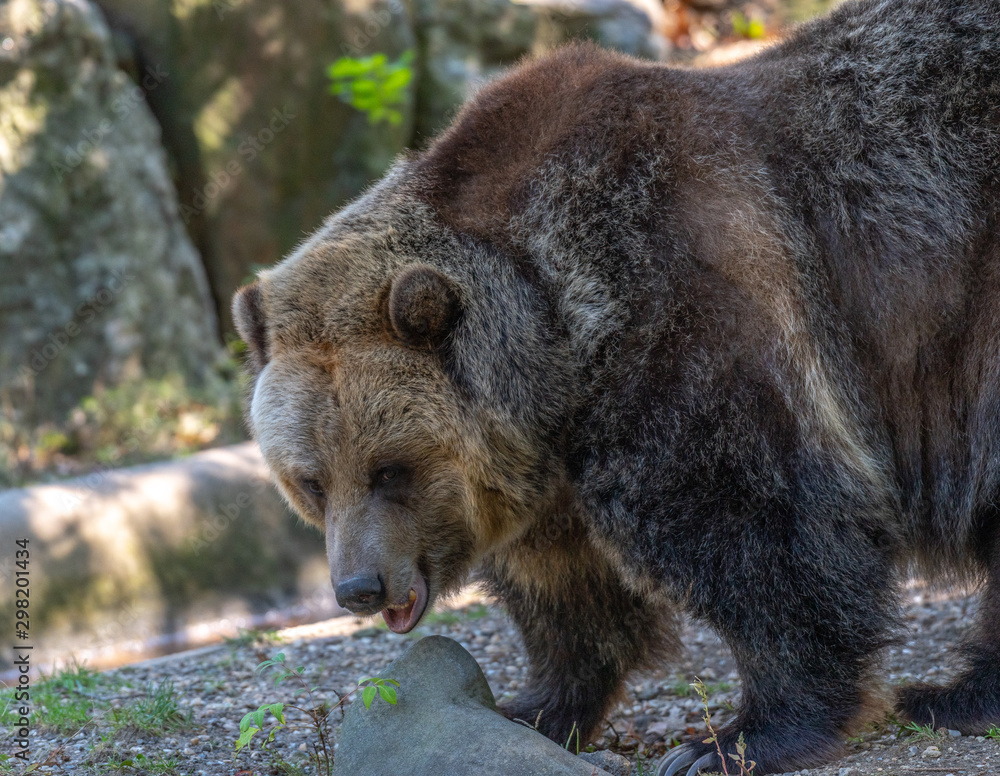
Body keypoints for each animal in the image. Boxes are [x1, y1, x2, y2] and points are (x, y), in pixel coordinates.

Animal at [232, 0, 1000, 773]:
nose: (359, 587)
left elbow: (763, 525)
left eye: (390, 468)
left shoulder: (681, 305)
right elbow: (569, 590)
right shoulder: (548, 460)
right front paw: (536, 705)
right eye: (311, 482)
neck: (558, 337)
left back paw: (951, 694)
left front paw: (732, 738)